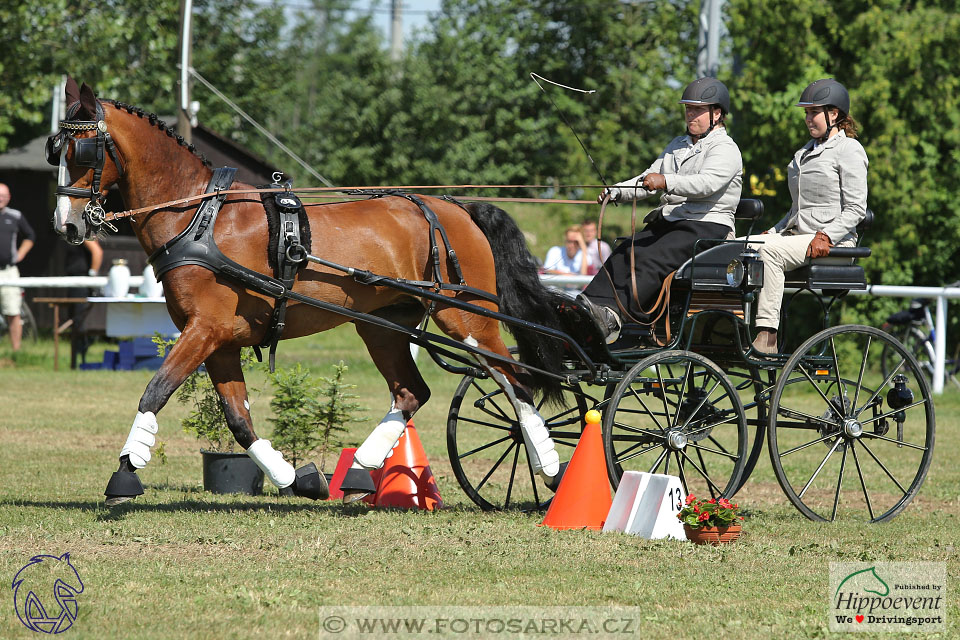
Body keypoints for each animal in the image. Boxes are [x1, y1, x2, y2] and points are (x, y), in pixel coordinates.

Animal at [50, 79, 568, 504]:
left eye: (83, 152)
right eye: (56, 152)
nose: (66, 226)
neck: (198, 218)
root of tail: (454, 207)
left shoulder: (205, 330)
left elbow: (154, 391)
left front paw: (124, 473)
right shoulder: (219, 340)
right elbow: (238, 420)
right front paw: (298, 479)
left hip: (468, 318)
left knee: (517, 383)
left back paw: (550, 468)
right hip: (382, 327)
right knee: (411, 392)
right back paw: (358, 471)